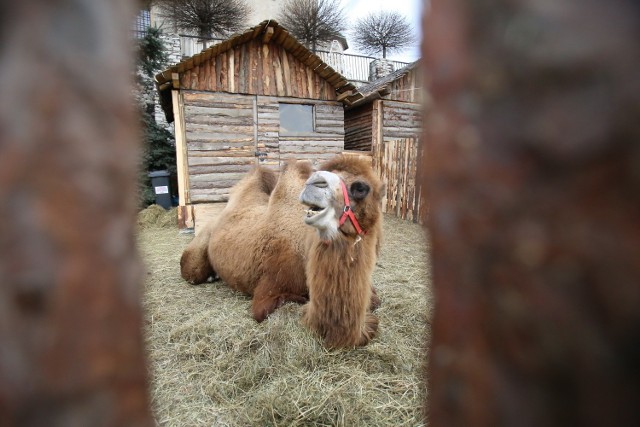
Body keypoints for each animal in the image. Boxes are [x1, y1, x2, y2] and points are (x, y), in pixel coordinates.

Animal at [179, 155, 384, 350]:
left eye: (360, 188)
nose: (315, 183)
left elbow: (376, 300)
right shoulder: (269, 290)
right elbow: (279, 305)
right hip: (198, 252)